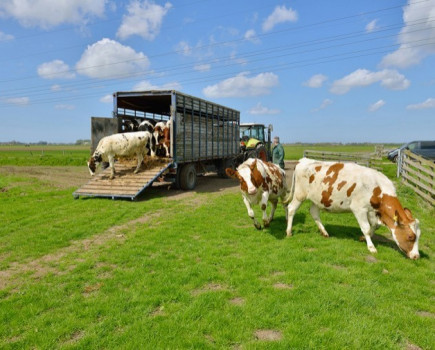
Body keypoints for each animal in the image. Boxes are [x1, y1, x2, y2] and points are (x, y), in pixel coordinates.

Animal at [284, 159, 420, 260]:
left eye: (419, 236)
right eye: (410, 237)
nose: (416, 256)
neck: (377, 188)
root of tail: (303, 161)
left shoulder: (373, 212)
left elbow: (374, 226)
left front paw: (363, 238)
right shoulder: (359, 209)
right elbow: (366, 228)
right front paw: (371, 247)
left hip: (317, 199)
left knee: (314, 213)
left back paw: (324, 232)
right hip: (300, 194)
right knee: (291, 209)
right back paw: (289, 232)